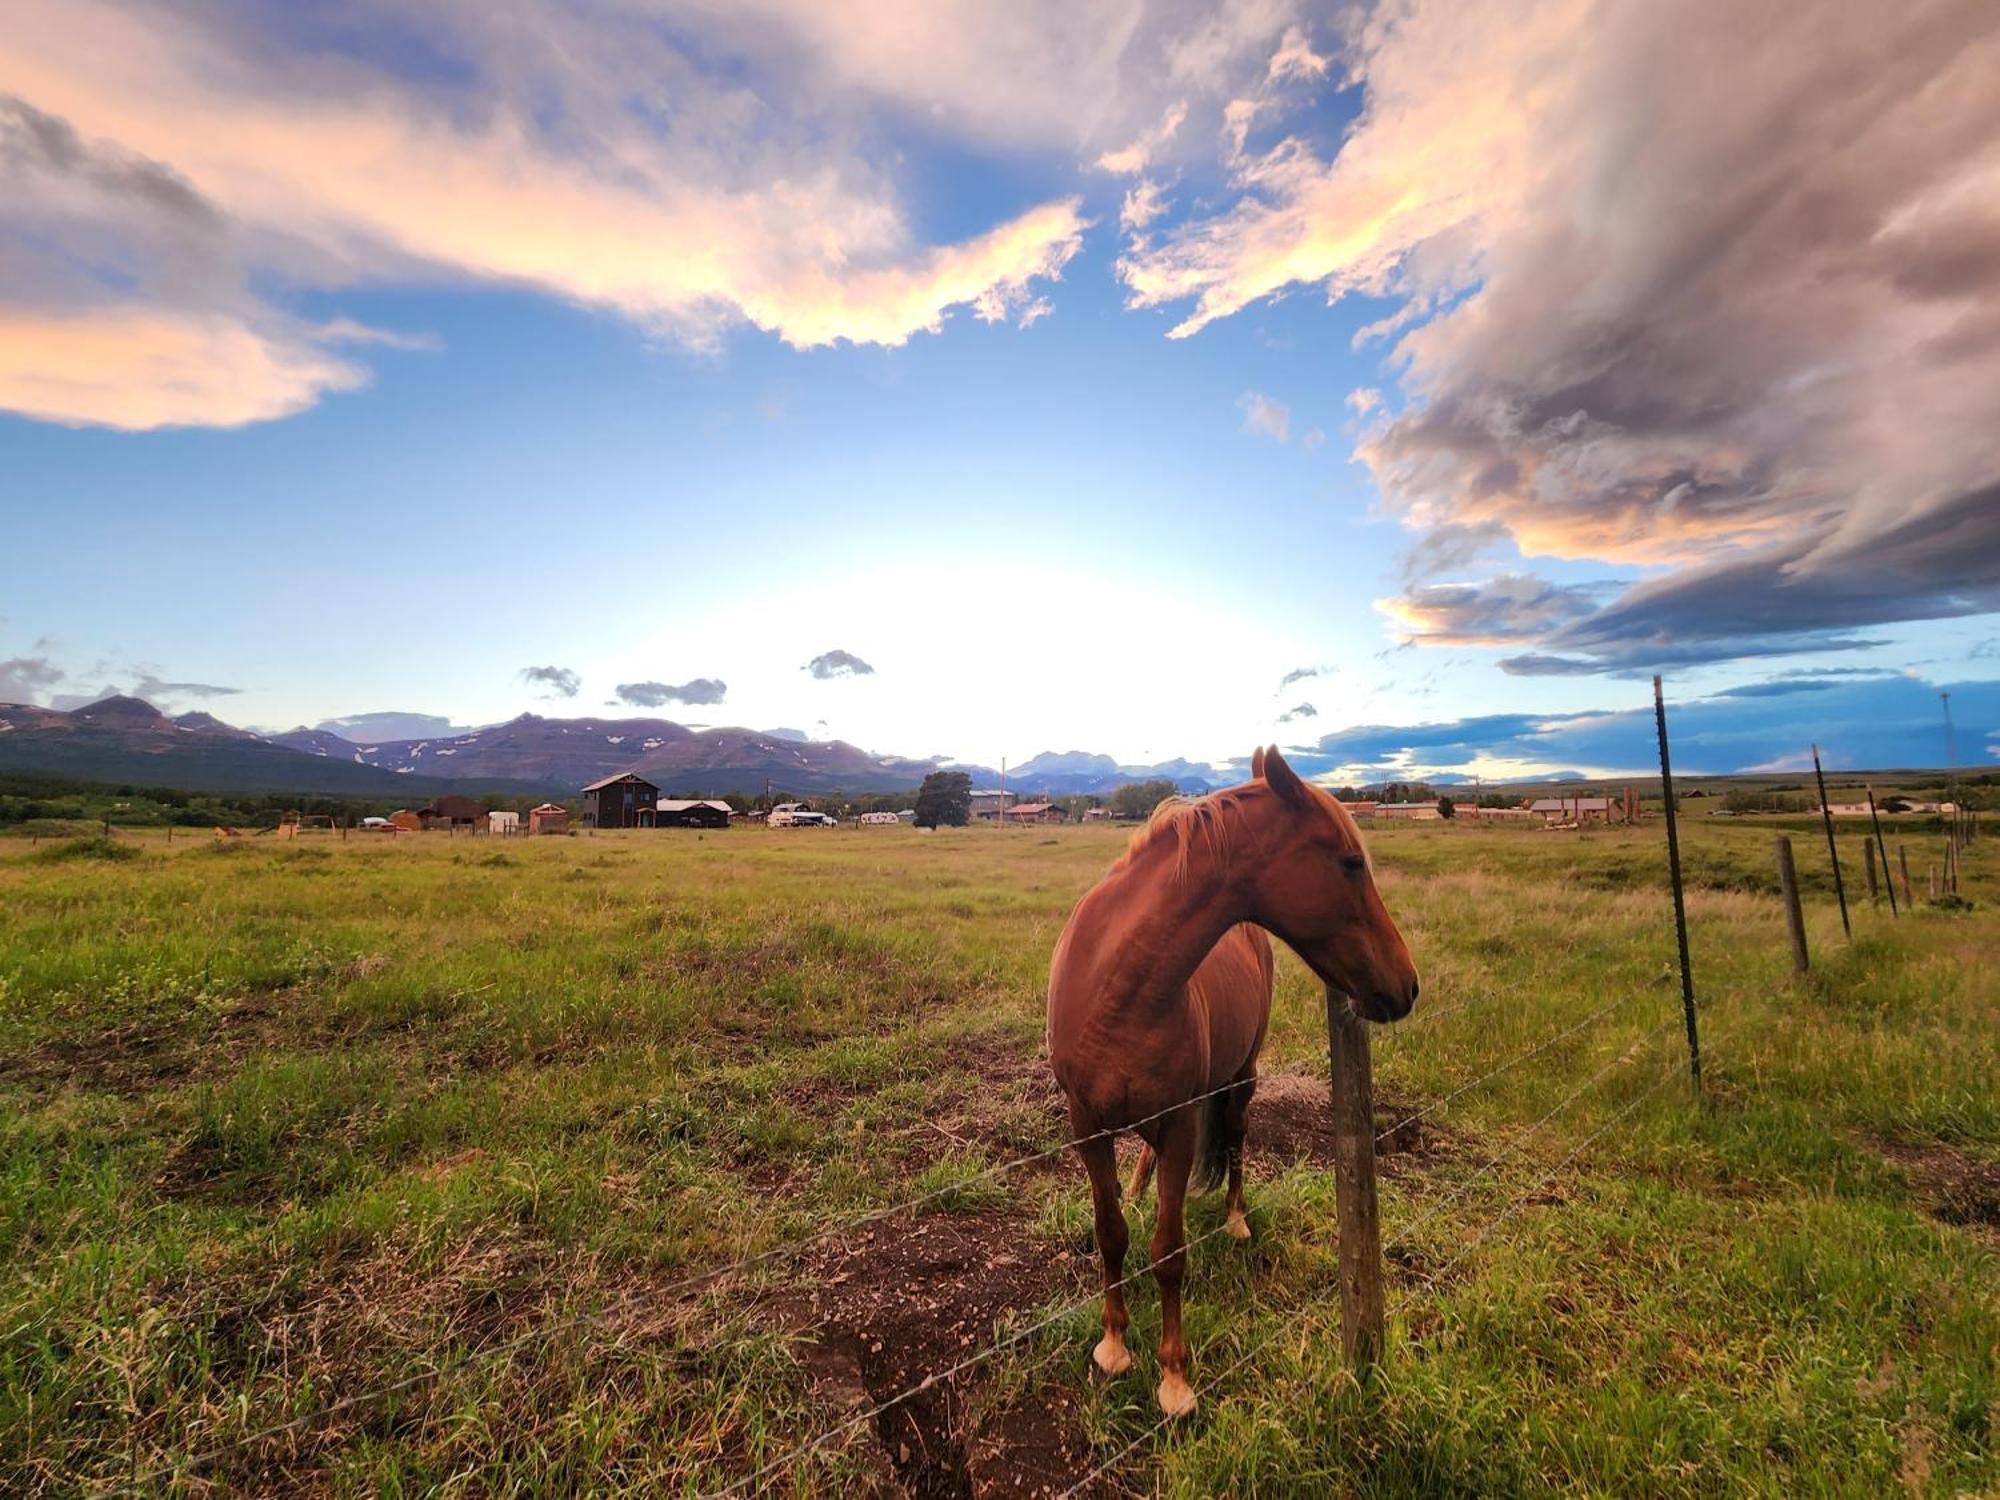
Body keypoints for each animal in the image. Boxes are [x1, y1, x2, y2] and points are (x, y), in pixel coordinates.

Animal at [1048, 748, 1424, 1424]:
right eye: (1350, 862)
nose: (1406, 985)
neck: (1117, 990)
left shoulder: (1179, 1125)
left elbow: (1168, 1251)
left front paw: (1174, 1381)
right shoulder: (1086, 1125)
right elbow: (1111, 1233)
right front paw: (1113, 1347)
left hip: (1240, 1081)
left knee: (1238, 1142)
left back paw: (1236, 1219)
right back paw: (1140, 1189)